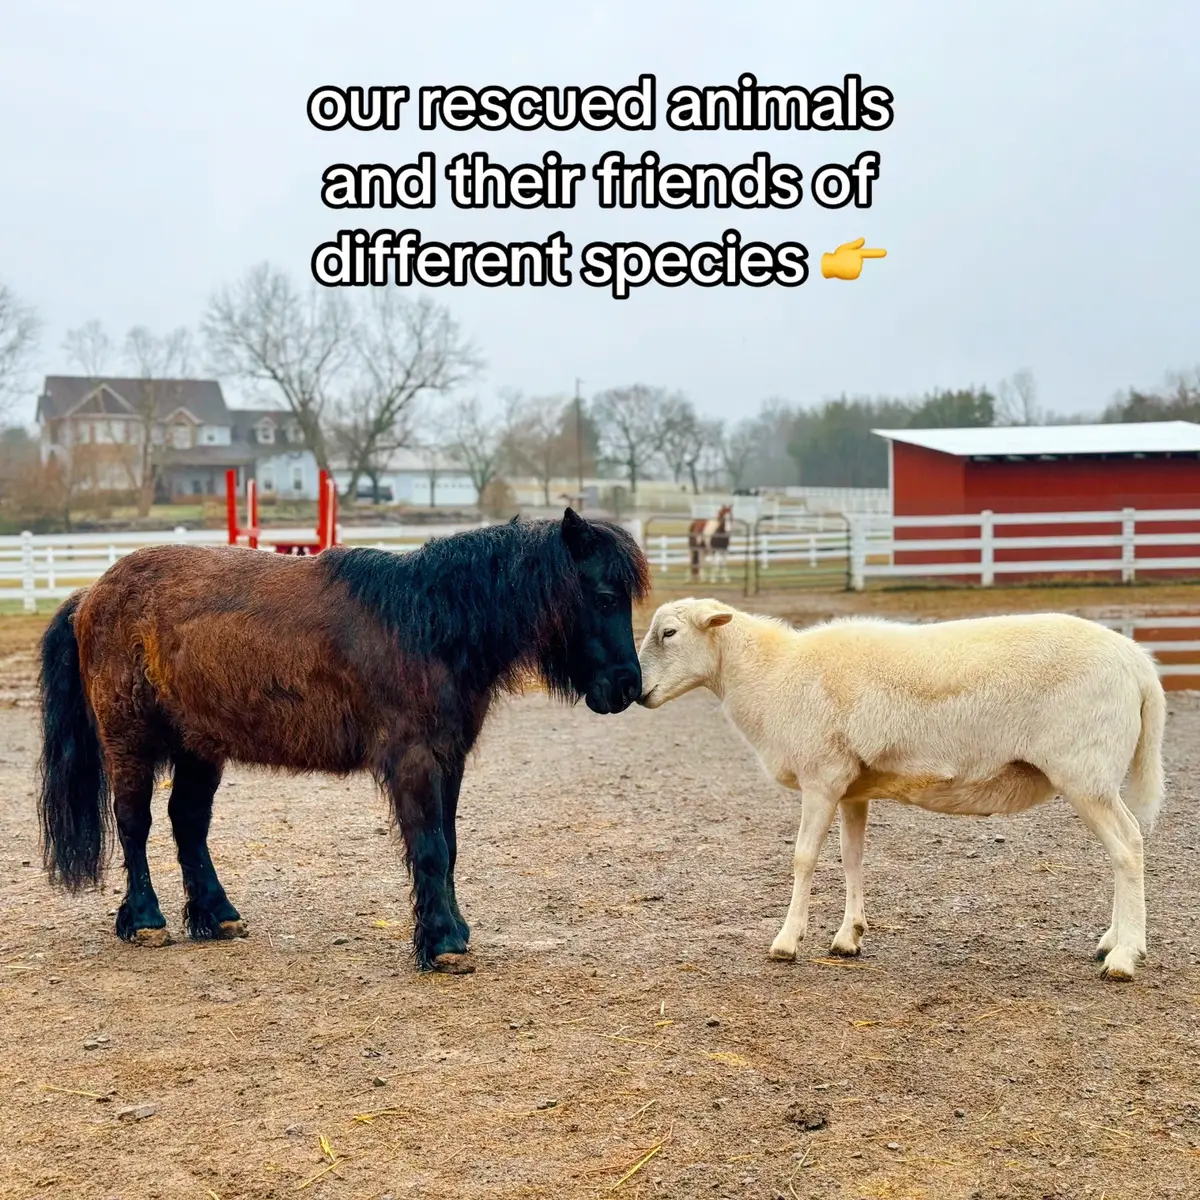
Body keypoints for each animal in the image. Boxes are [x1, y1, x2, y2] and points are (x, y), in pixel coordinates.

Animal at [35, 511, 648, 969]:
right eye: (604, 595)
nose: (627, 686)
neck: (427, 625)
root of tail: (92, 593)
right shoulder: (414, 759)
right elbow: (430, 846)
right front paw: (442, 944)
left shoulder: (449, 760)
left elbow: (448, 846)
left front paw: (453, 929)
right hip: (130, 740)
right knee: (134, 823)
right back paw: (145, 920)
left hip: (199, 746)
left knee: (187, 821)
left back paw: (218, 915)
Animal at [643, 600, 1166, 984]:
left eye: (669, 633)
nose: (638, 691)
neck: (771, 675)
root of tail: (1138, 664)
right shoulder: (852, 787)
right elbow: (851, 857)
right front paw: (849, 936)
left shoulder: (821, 776)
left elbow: (804, 858)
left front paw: (787, 941)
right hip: (1093, 776)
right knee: (1128, 844)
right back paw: (1111, 941)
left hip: (1085, 771)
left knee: (1127, 847)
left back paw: (1124, 956)